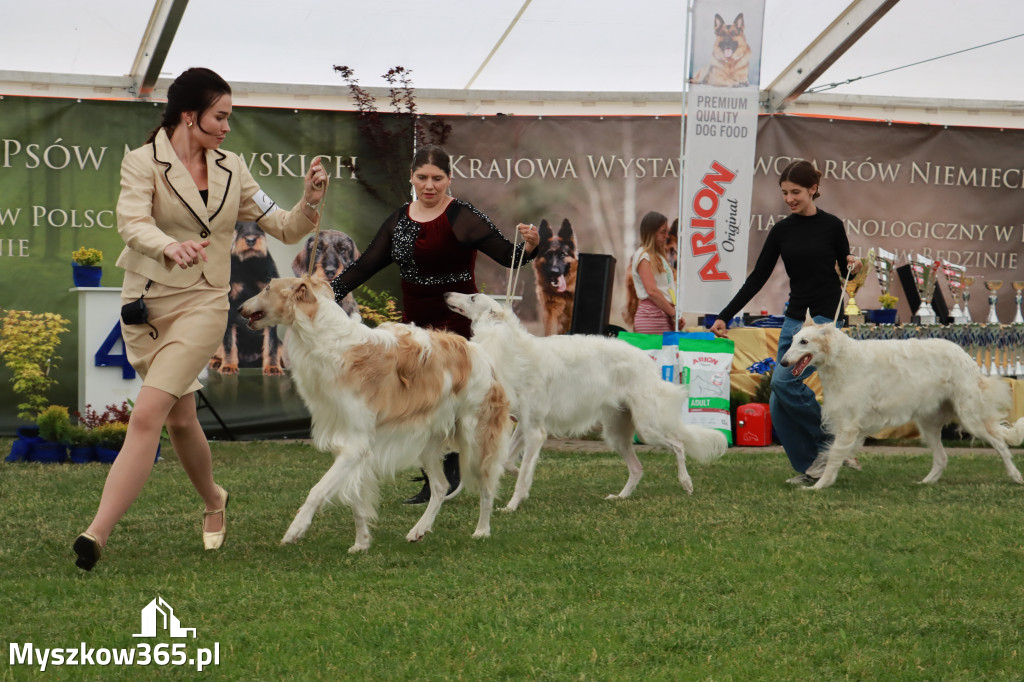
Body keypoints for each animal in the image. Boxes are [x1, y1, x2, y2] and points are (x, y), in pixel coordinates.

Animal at [239, 274, 512, 548]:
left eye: (267, 287)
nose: (240, 309)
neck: (331, 344)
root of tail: (479, 352)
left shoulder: (357, 442)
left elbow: (317, 491)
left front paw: (295, 530)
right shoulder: (350, 444)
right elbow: (356, 503)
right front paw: (361, 544)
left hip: (475, 439)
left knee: (487, 487)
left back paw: (482, 530)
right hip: (427, 442)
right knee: (440, 487)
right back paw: (419, 529)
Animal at [444, 288, 724, 507]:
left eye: (472, 297)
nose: (446, 294)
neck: (515, 349)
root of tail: (646, 361)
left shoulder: (535, 431)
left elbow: (523, 475)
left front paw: (512, 504)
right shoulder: (524, 425)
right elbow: (509, 461)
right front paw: (509, 475)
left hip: (647, 427)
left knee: (678, 445)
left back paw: (686, 483)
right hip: (616, 432)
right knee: (637, 468)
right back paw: (620, 497)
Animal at [778, 313, 1024, 489]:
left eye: (804, 341)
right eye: (792, 340)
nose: (782, 362)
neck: (841, 358)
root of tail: (967, 358)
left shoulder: (848, 425)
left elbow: (834, 458)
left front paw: (819, 485)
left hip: (970, 418)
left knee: (1000, 445)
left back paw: (1015, 476)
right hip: (928, 424)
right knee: (942, 458)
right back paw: (925, 482)